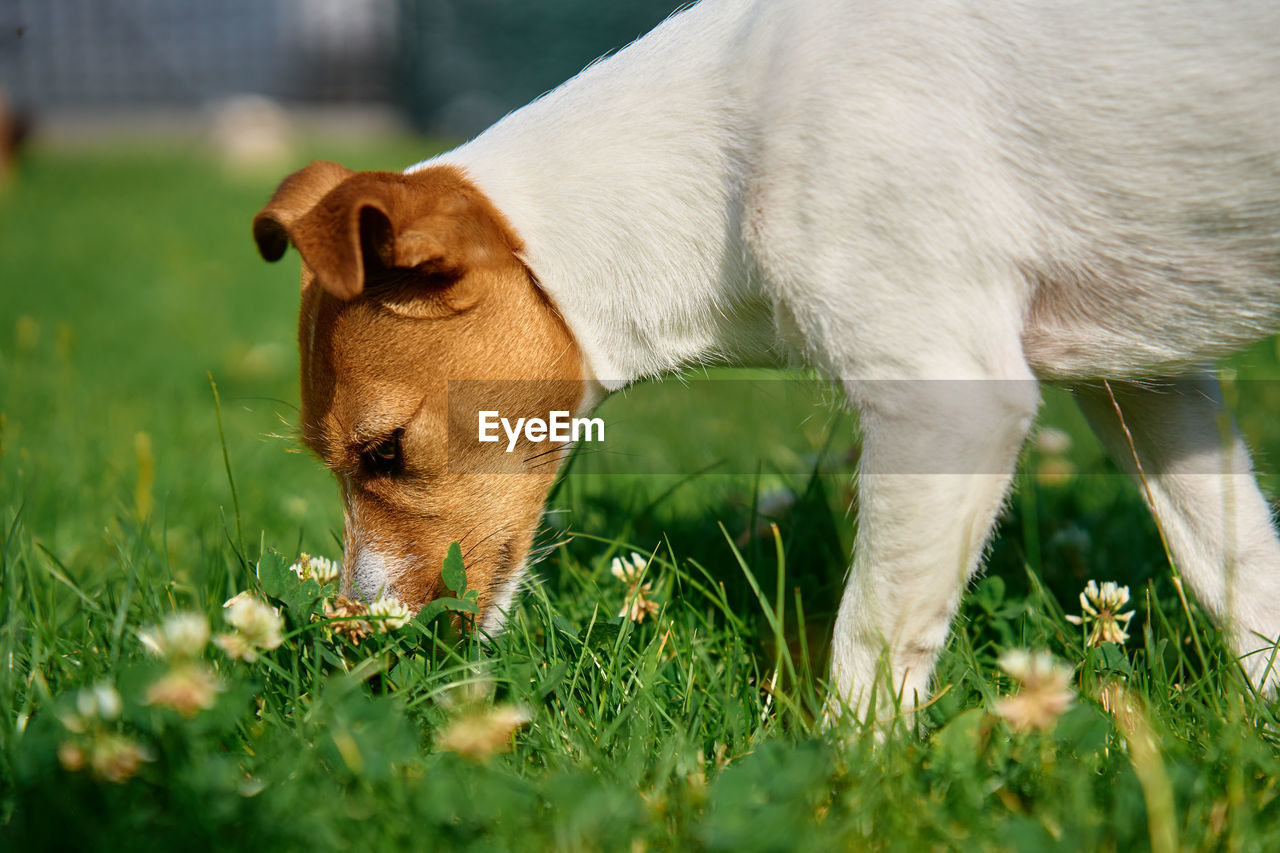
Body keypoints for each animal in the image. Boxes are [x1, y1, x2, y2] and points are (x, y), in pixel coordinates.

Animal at [252, 0, 1280, 717]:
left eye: (384, 452)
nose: (361, 654)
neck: (726, 151)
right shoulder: (1146, 386)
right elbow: (1237, 565)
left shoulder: (950, 404)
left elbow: (871, 643)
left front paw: (849, 786)